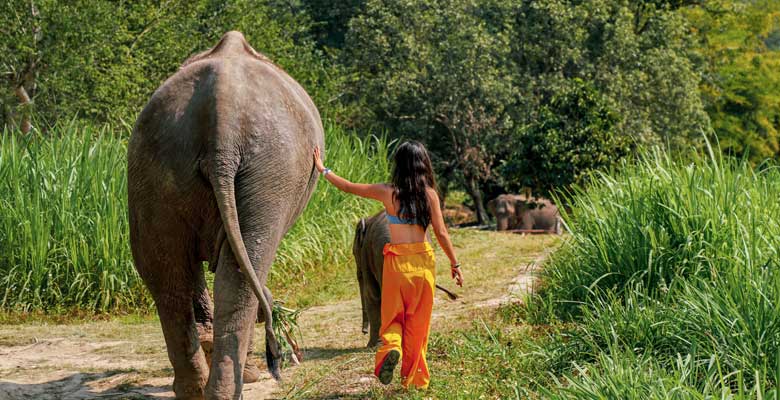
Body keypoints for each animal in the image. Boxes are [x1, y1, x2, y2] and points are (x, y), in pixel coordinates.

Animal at [128, 32, 322, 400]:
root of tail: (223, 114)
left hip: (157, 162)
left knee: (165, 273)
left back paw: (193, 391)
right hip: (272, 169)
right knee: (242, 276)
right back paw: (231, 385)